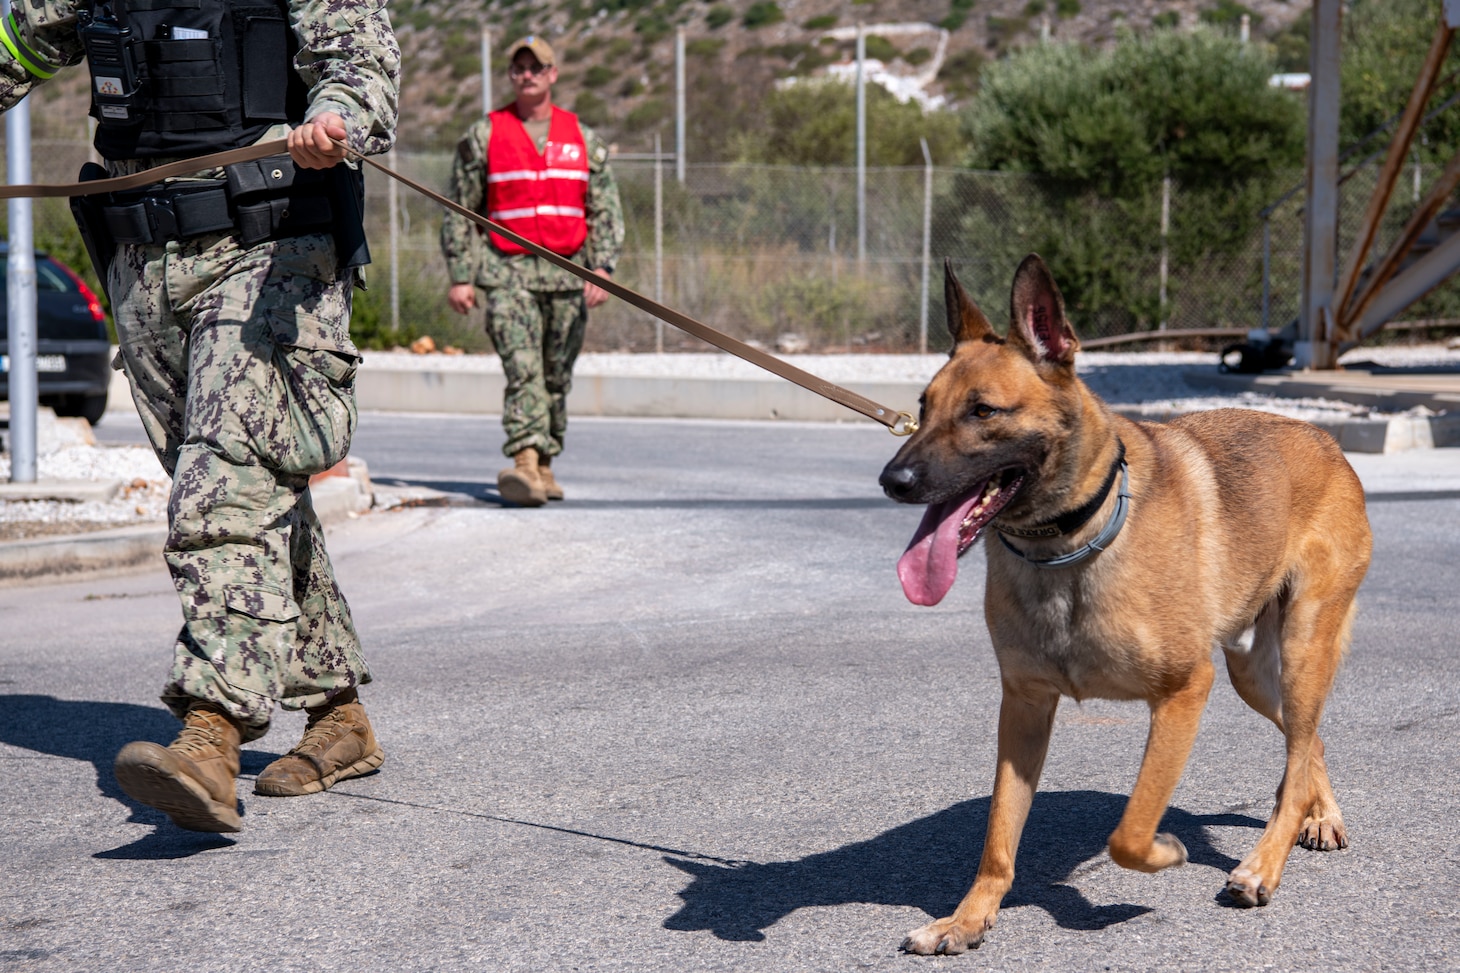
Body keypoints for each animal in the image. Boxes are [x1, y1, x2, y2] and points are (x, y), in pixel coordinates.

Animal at [881, 254, 1372, 952]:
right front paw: (969, 917)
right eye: (923, 408)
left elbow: (1131, 831)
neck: (1069, 548)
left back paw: (1263, 866)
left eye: (983, 411)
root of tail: (1327, 441)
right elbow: (999, 836)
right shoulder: (1024, 708)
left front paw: (1166, 852)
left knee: (1299, 749)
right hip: (1254, 674)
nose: (893, 480)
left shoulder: (1184, 693)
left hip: (1302, 647)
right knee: (1307, 746)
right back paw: (1317, 814)